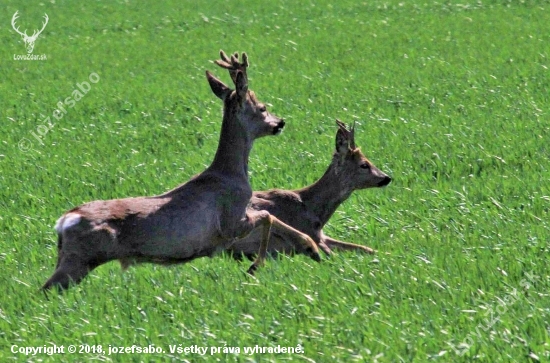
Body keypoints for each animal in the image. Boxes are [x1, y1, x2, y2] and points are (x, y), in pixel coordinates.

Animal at [43, 50, 322, 292]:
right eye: (263, 107)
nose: (280, 123)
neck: (231, 174)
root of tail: (64, 221)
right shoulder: (230, 223)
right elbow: (268, 216)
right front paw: (265, 262)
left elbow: (270, 217)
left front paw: (309, 249)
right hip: (81, 259)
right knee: (45, 290)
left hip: (69, 257)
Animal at [227, 122, 392, 262]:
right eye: (364, 164)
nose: (387, 178)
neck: (312, 208)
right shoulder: (311, 233)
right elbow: (336, 258)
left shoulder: (321, 234)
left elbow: (366, 248)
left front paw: (388, 254)